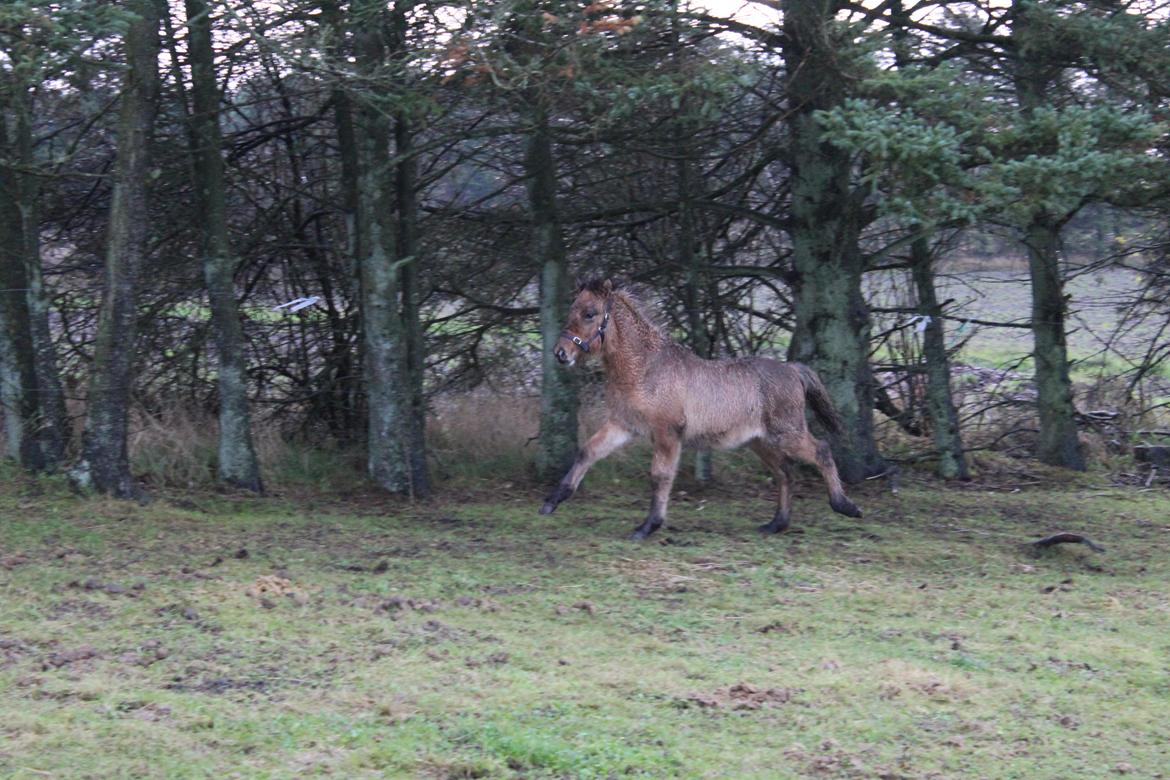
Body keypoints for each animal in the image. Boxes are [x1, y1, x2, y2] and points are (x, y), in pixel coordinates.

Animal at [538, 277, 861, 540]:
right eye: (572, 309)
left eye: (590, 314)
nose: (561, 353)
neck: (644, 368)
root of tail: (793, 370)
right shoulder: (623, 425)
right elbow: (587, 452)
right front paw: (552, 502)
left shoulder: (667, 433)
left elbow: (660, 475)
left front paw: (647, 527)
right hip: (760, 441)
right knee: (785, 473)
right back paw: (776, 524)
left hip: (787, 433)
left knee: (820, 451)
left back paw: (845, 506)